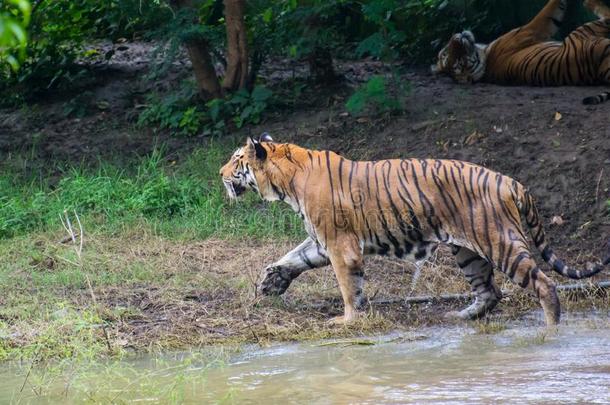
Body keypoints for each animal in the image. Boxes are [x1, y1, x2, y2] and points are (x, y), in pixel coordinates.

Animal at [220, 135, 608, 326]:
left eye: (237, 160)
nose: (220, 174)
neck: (287, 182)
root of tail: (511, 181)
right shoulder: (321, 240)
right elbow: (293, 258)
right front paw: (270, 282)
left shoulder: (340, 243)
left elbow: (347, 285)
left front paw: (346, 320)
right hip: (467, 252)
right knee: (490, 292)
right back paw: (460, 316)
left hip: (501, 243)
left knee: (544, 283)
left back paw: (551, 329)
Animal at [430, 0, 608, 104]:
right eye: (459, 62)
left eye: (446, 53)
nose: (457, 38)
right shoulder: (531, 29)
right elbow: (547, 10)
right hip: (586, 32)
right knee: (606, 15)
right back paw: (589, 3)